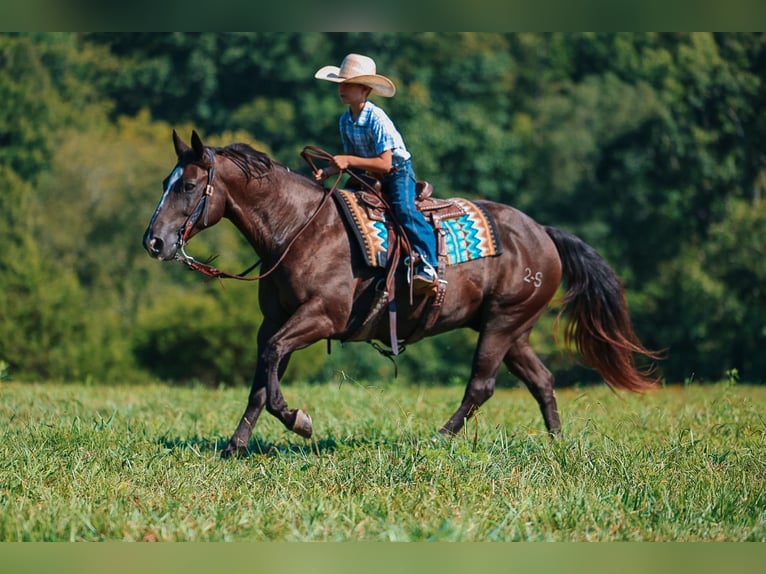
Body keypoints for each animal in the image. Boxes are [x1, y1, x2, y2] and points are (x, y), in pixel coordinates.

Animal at [143, 130, 661, 458]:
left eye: (189, 185)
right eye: (166, 182)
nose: (155, 242)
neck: (300, 230)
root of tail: (545, 235)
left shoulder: (320, 318)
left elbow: (270, 367)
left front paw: (298, 420)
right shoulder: (276, 322)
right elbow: (260, 378)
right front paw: (235, 446)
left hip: (502, 324)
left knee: (482, 385)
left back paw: (440, 438)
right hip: (514, 330)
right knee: (542, 381)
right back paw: (556, 444)